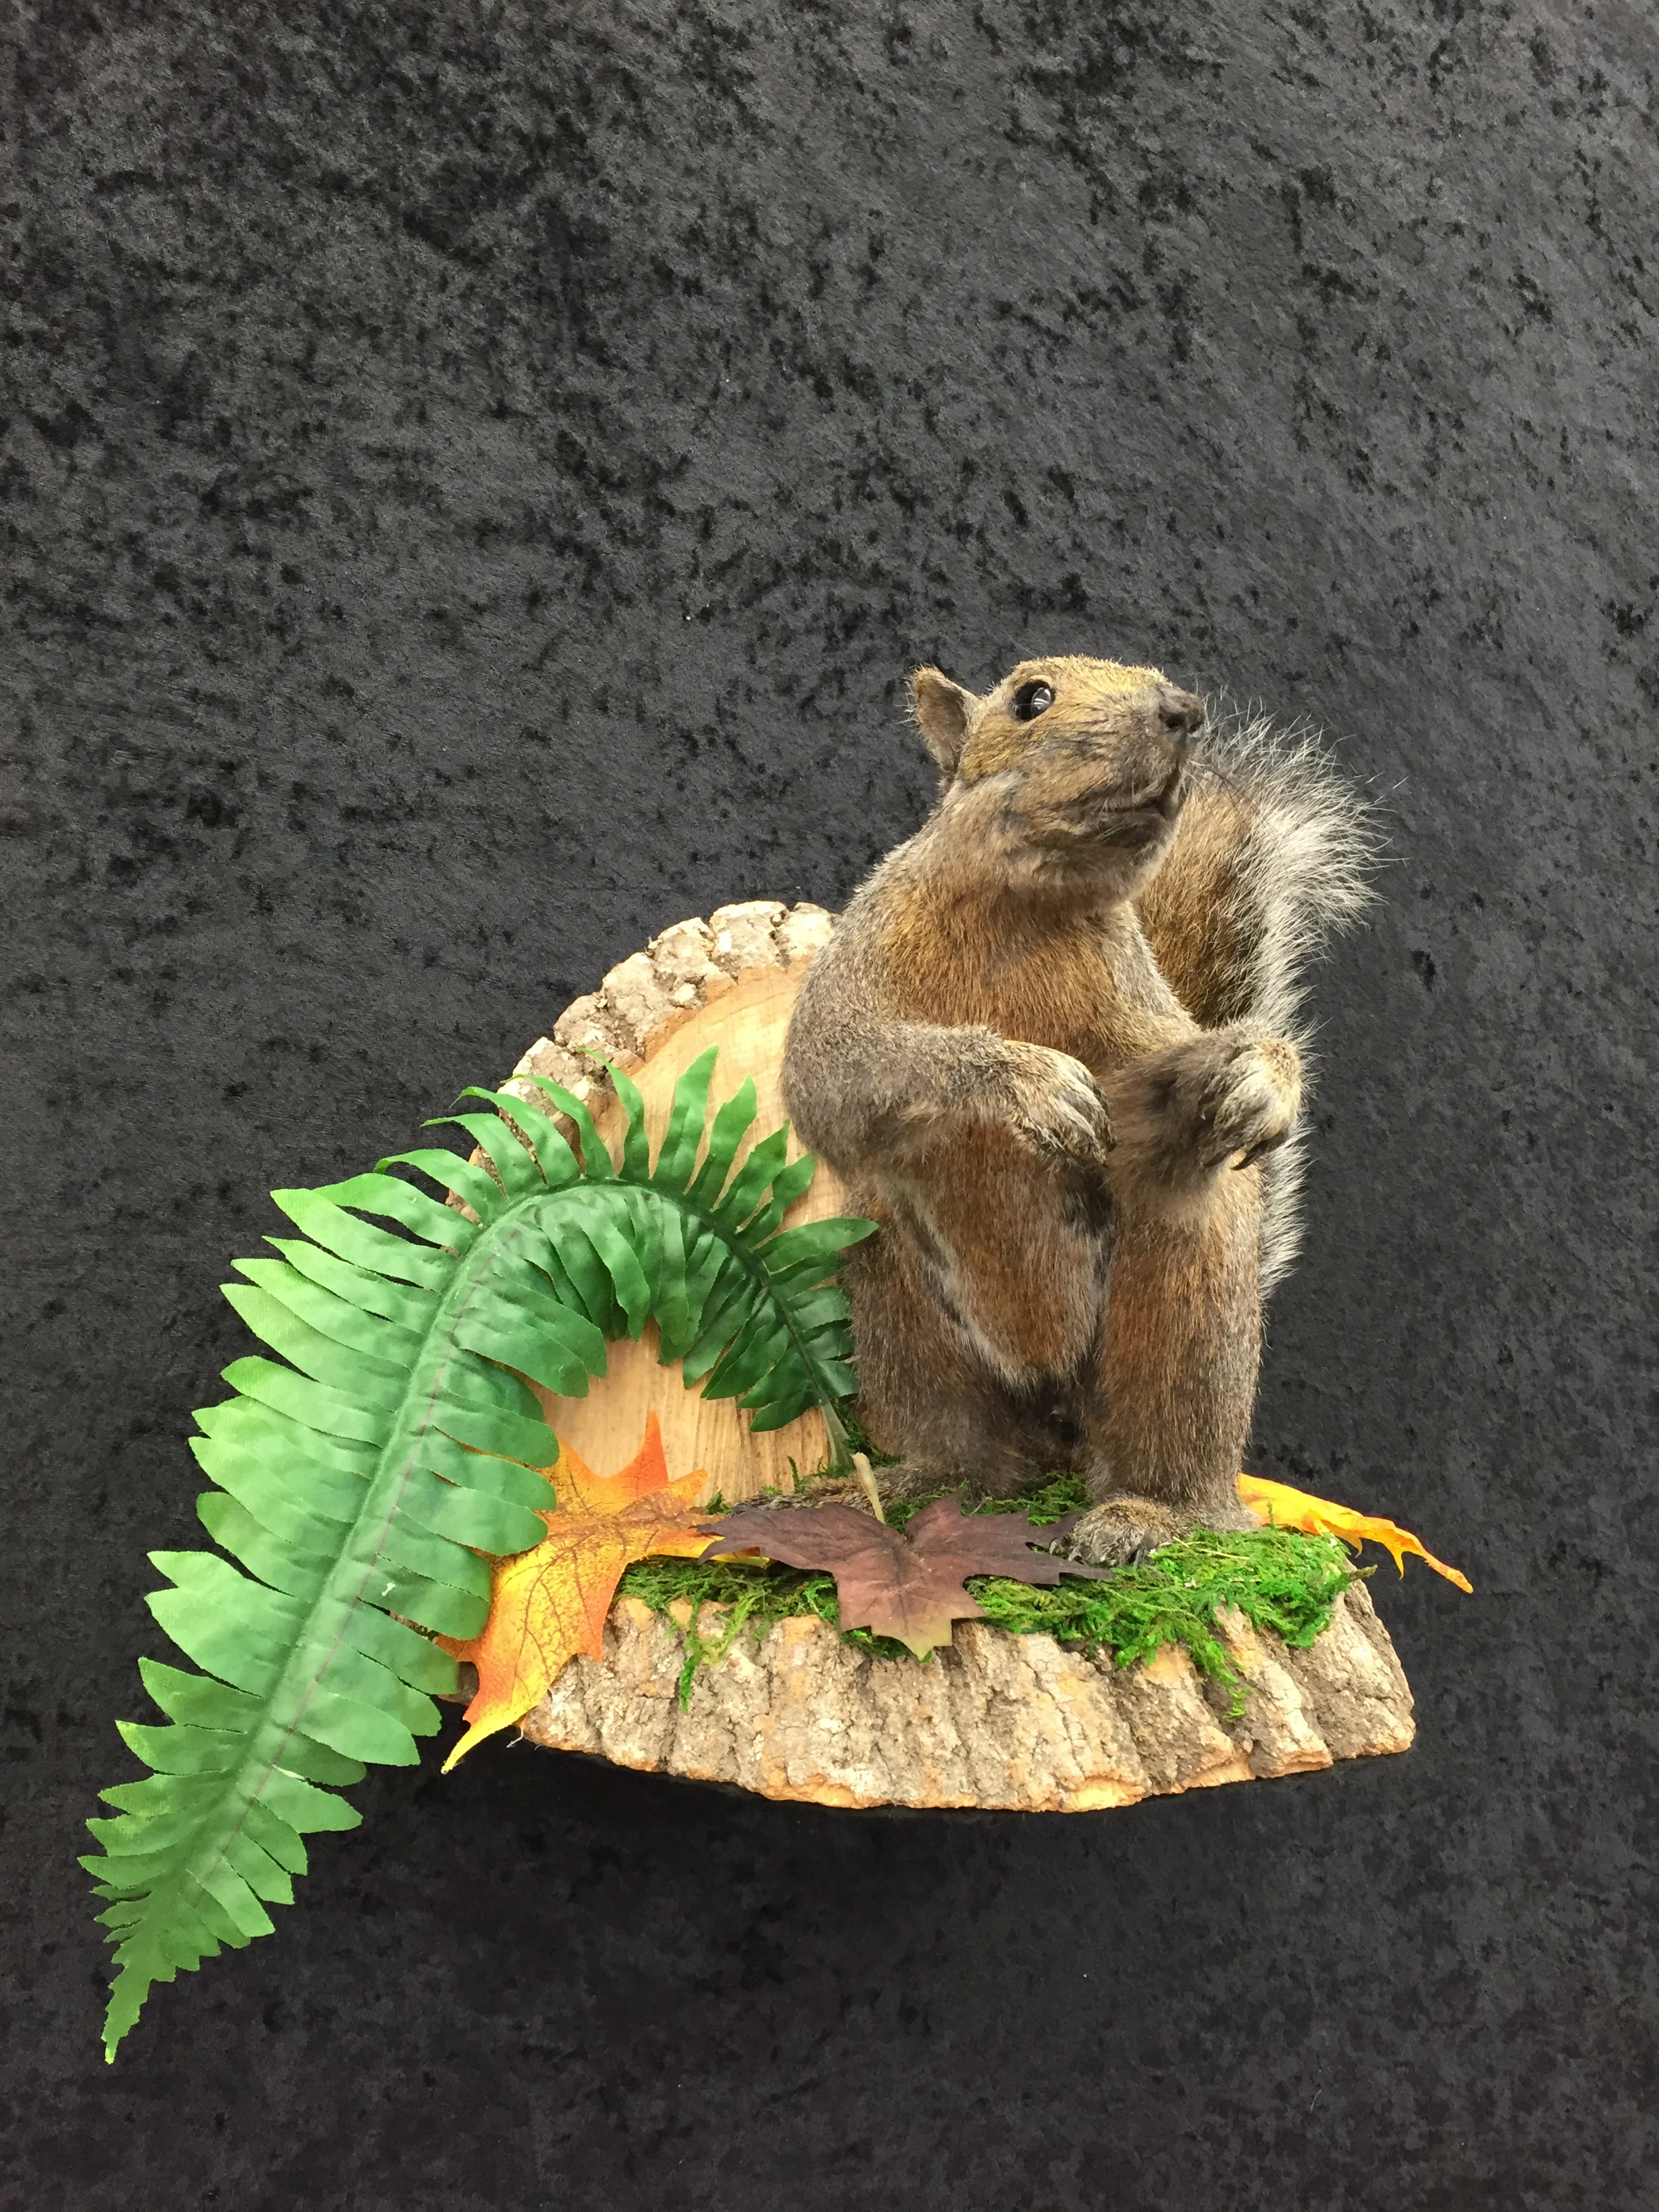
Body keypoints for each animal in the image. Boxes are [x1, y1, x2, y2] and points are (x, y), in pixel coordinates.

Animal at [781, 654, 1374, 1563]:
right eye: (1030, 700)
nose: (1182, 711)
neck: (1024, 909)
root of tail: (1055, 1408)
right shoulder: (854, 969)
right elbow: (835, 1074)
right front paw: (1029, 1080)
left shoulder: (1137, 1023)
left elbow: (1176, 1082)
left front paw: (1261, 1077)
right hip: (898, 1304)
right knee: (972, 1449)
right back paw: (920, 1487)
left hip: (1183, 1306)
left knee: (1166, 1453)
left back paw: (1144, 1514)